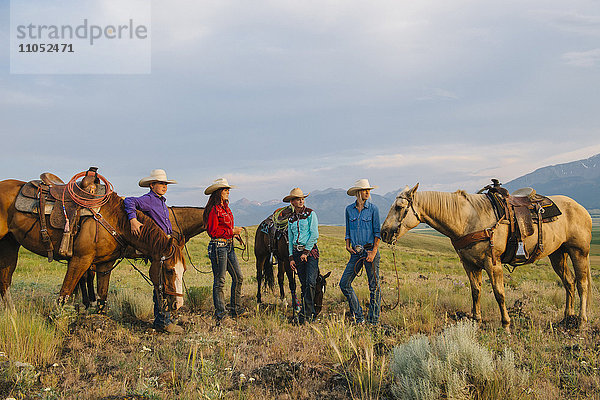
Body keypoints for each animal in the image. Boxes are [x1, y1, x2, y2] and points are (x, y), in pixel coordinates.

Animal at [0, 169, 185, 312]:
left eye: (183, 271)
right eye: (169, 270)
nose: (178, 304)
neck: (114, 220)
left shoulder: (105, 264)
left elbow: (102, 299)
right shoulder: (80, 259)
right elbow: (63, 295)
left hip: (10, 244)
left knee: (5, 280)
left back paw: (12, 315)